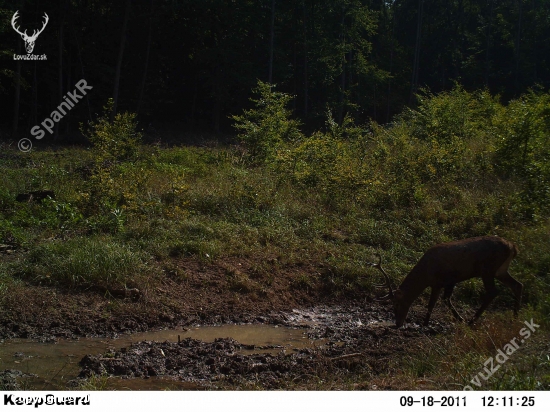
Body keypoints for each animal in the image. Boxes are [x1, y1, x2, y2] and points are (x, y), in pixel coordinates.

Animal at [374, 235, 524, 328]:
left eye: (396, 304)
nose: (398, 323)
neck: (426, 273)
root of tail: (513, 247)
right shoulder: (446, 282)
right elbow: (444, 299)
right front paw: (459, 318)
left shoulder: (442, 281)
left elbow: (433, 303)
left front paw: (425, 323)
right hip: (500, 270)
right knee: (517, 285)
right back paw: (515, 316)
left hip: (488, 269)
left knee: (493, 292)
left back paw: (472, 320)